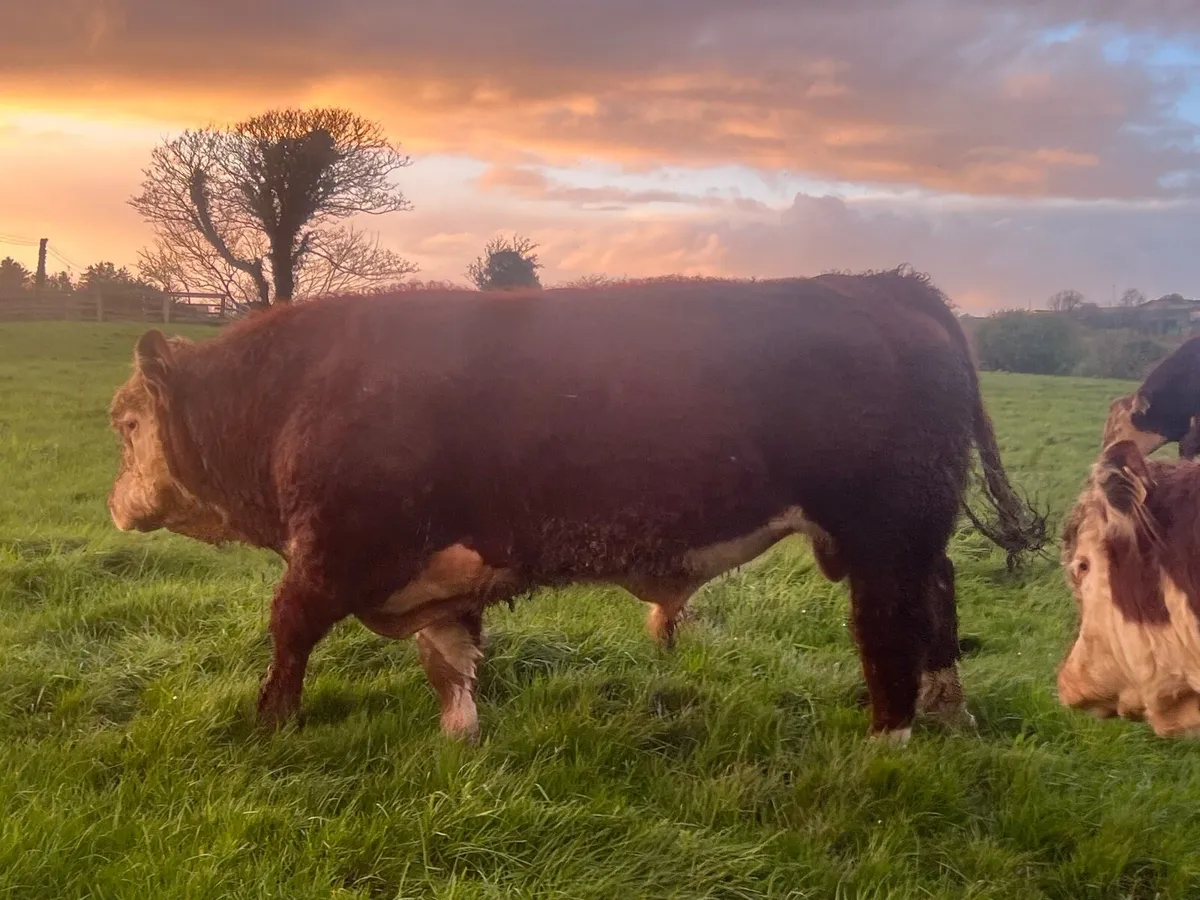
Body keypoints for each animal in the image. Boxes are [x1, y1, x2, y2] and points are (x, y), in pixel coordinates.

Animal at [106, 268, 1045, 744]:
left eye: (124, 424)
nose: (114, 502)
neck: (291, 393)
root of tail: (885, 283)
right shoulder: (436, 572)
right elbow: (450, 660)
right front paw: (460, 741)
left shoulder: (331, 552)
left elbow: (288, 631)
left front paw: (272, 723)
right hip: (914, 534)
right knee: (940, 601)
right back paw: (951, 711)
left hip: (883, 533)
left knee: (890, 628)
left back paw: (890, 738)